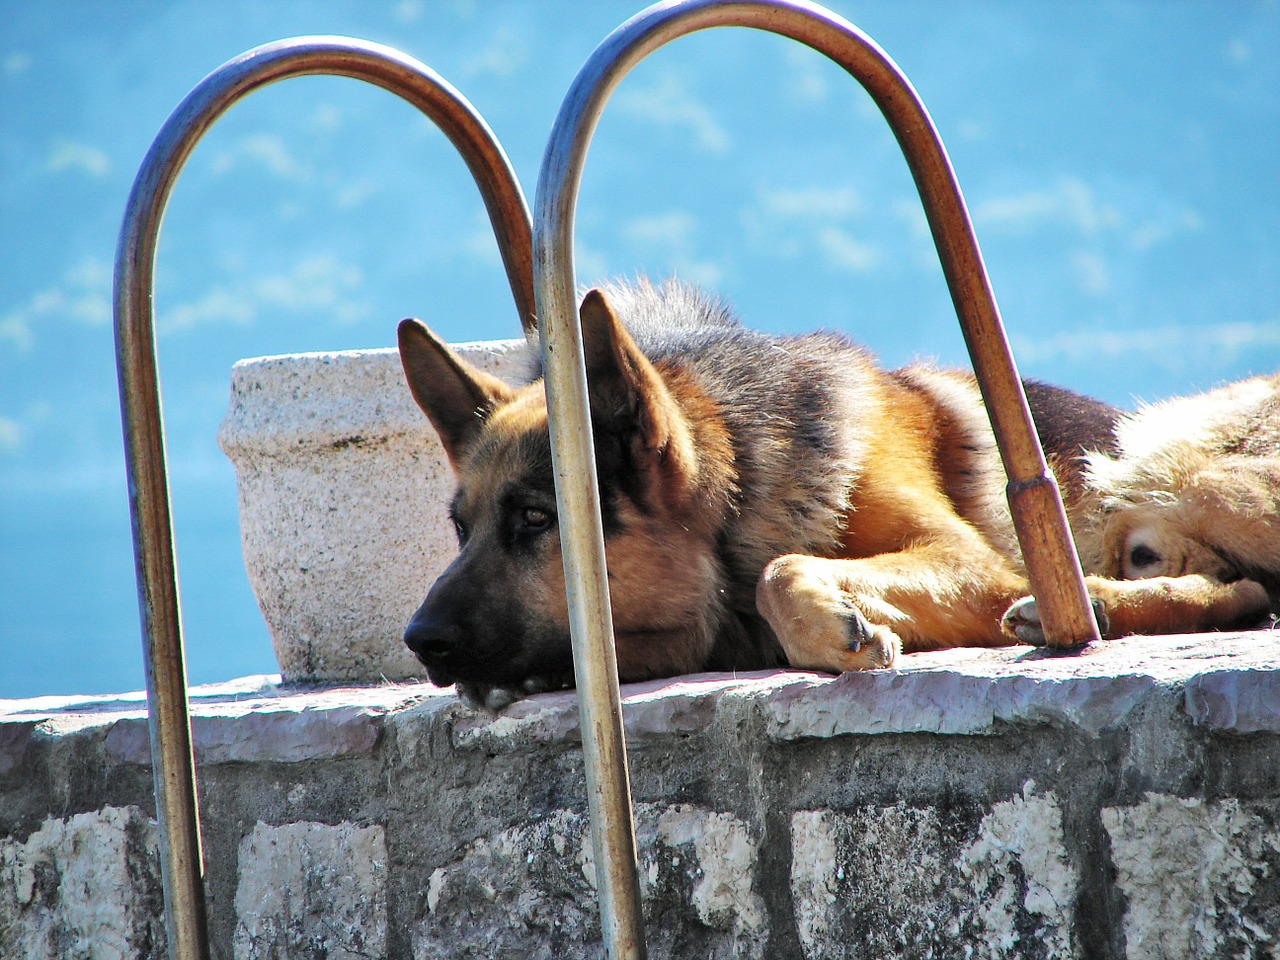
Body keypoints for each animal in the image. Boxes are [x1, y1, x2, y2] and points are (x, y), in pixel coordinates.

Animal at [396, 281, 1269, 711]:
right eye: (461, 529)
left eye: (536, 519)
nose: (420, 642)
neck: (743, 485)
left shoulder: (969, 562)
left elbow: (780, 571)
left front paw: (830, 626)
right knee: (1244, 587)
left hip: (1193, 475)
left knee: (1246, 585)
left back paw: (1087, 603)